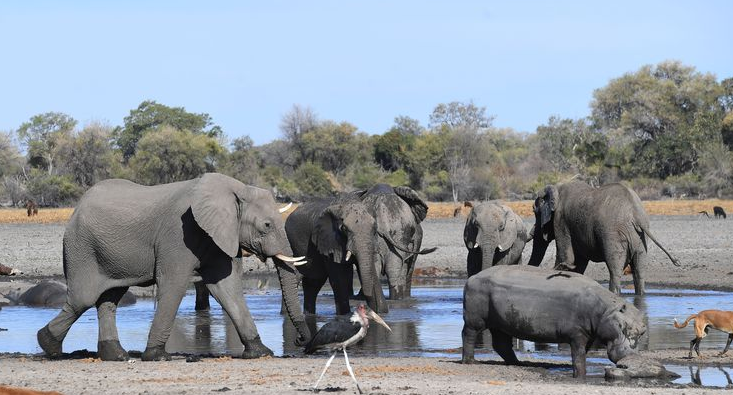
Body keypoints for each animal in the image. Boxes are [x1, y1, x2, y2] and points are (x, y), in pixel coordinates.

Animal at [35, 173, 310, 362]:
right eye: (266, 225)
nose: (300, 340)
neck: (234, 188)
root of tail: (76, 208)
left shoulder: (219, 236)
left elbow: (226, 288)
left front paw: (261, 352)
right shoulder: (178, 234)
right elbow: (174, 284)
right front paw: (157, 356)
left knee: (109, 300)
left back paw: (116, 356)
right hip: (81, 247)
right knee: (82, 299)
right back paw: (48, 346)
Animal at [460, 266, 672, 380]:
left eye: (642, 331)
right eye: (624, 327)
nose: (630, 355)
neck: (605, 310)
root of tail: (472, 277)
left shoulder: (589, 334)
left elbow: (582, 354)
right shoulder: (577, 334)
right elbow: (578, 356)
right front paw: (580, 376)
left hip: (501, 322)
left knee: (501, 343)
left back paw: (517, 363)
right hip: (475, 319)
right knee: (468, 335)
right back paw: (469, 361)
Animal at [528, 181, 680, 296]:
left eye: (535, 212)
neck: (557, 188)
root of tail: (635, 215)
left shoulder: (560, 221)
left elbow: (566, 257)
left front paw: (560, 268)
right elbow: (579, 263)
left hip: (613, 233)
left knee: (615, 269)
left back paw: (613, 293)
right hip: (640, 238)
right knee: (639, 270)